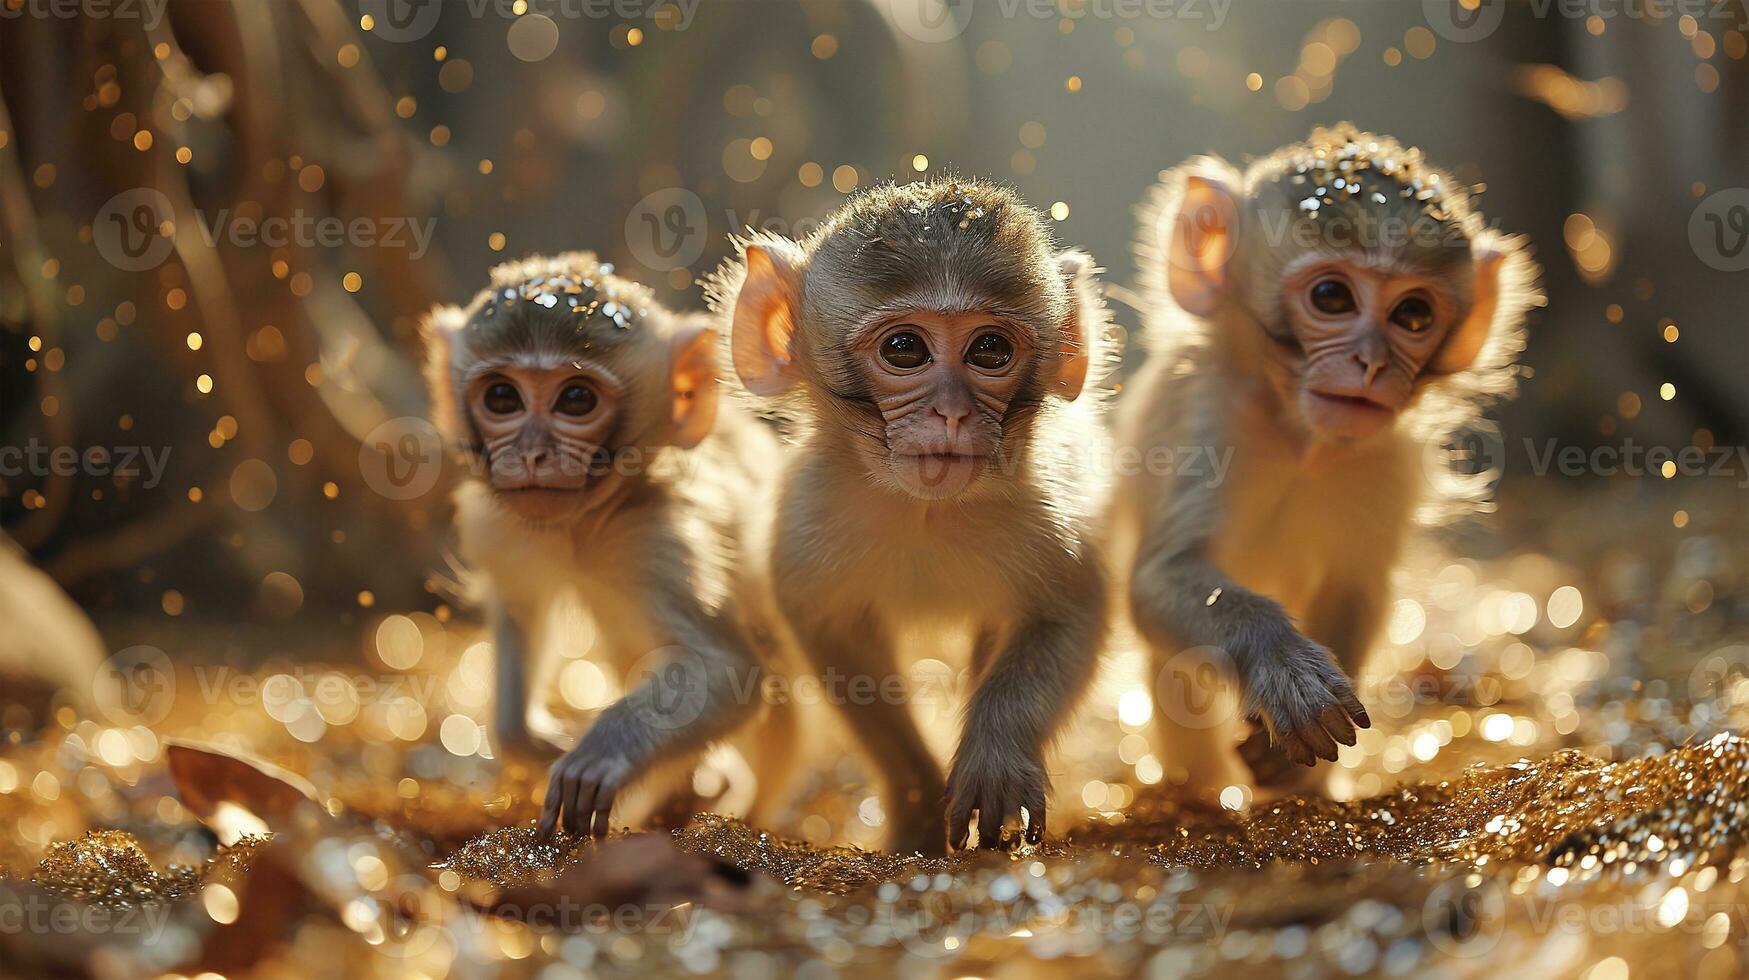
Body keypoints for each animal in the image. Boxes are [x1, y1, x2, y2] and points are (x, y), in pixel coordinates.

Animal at [423, 252, 804, 833]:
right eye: (502, 397)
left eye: (576, 399)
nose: (531, 453)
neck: (583, 526)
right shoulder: (503, 525)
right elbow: (520, 605)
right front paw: (529, 737)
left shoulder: (658, 537)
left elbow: (726, 672)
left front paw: (600, 754)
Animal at [706, 180, 1119, 854]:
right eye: (905, 350)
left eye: (989, 349)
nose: (951, 412)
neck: (927, 513)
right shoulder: (807, 522)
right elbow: (835, 639)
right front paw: (917, 802)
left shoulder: (1056, 516)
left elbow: (1069, 615)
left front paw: (995, 758)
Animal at [1112, 120, 1539, 798]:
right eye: (1332, 297)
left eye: (1412, 313)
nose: (1371, 363)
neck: (1299, 439)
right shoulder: (1203, 418)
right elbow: (1157, 581)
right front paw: (1282, 661)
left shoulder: (1385, 460)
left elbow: (1355, 587)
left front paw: (1282, 762)